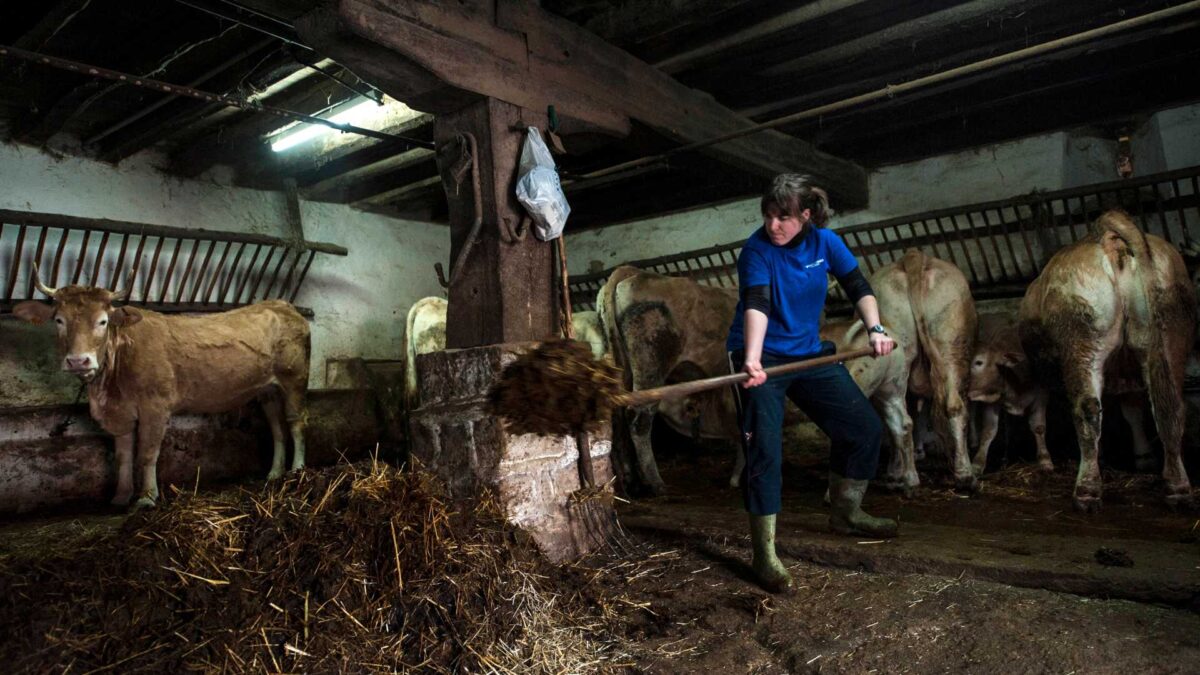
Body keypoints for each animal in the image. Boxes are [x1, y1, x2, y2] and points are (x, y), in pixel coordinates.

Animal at [12, 265, 309, 506]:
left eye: (103, 321)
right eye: (59, 320)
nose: (78, 361)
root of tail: (282, 305)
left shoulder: (155, 407)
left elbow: (146, 453)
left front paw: (146, 497)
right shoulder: (120, 413)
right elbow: (123, 455)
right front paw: (121, 496)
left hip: (295, 379)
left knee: (295, 423)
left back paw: (297, 472)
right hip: (268, 390)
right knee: (277, 427)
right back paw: (274, 474)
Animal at [873, 247, 984, 487]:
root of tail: (913, 257)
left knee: (900, 416)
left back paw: (901, 475)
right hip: (952, 348)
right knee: (955, 407)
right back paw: (965, 474)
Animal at [1017, 210, 1195, 509]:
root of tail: (1110, 239)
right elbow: (1133, 410)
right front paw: (1144, 458)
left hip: (1082, 339)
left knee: (1087, 409)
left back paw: (1086, 490)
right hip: (1170, 335)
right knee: (1170, 406)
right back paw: (1178, 487)